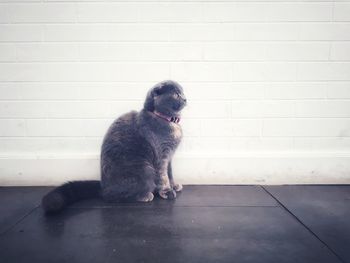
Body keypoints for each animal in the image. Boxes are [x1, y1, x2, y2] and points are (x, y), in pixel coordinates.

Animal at [41, 79, 186, 213]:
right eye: (176, 94)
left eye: (182, 92)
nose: (185, 98)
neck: (167, 120)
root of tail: (102, 187)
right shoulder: (161, 155)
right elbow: (163, 176)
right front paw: (167, 191)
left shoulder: (169, 157)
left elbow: (170, 173)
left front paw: (174, 186)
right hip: (145, 169)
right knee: (112, 197)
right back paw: (145, 195)